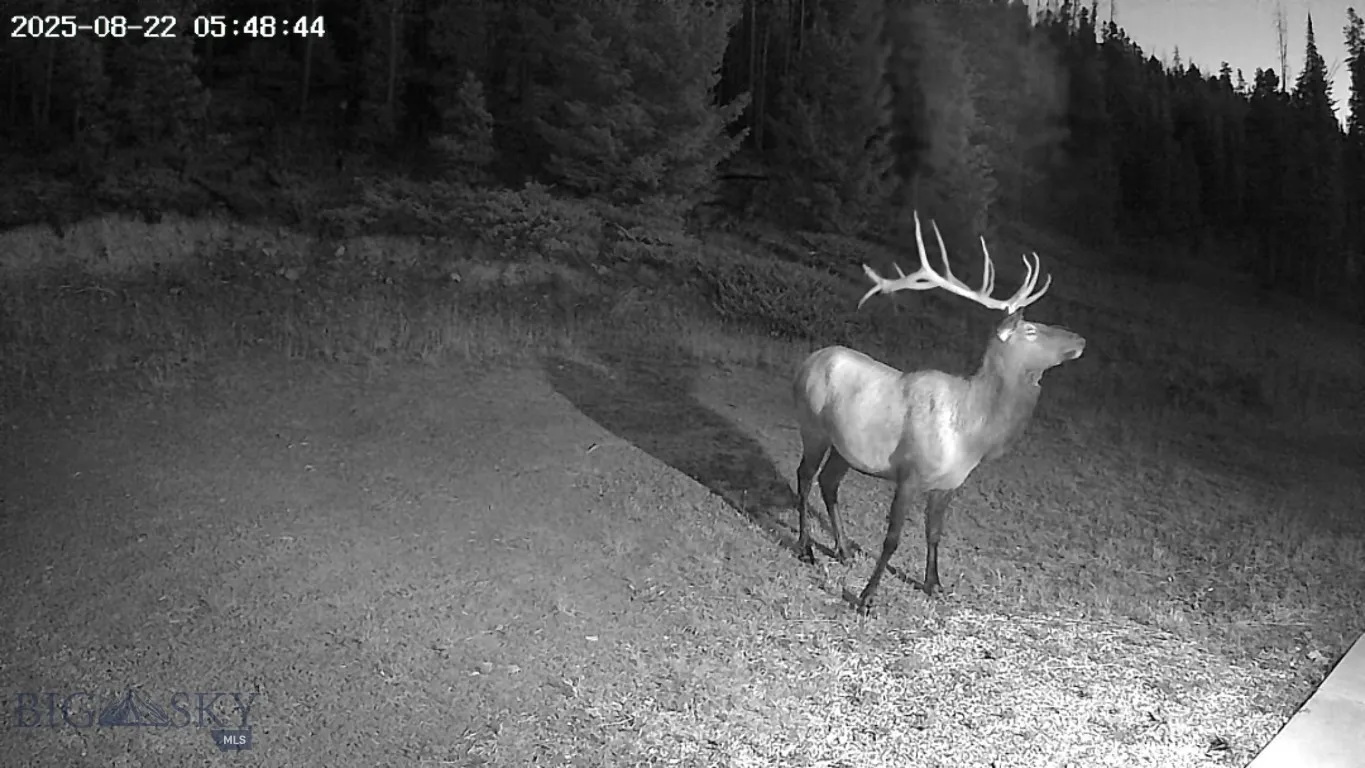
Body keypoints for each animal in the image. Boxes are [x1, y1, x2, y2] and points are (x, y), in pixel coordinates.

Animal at [792, 212, 1085, 613]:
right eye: (1031, 330)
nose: (1080, 339)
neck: (973, 435)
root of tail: (808, 360)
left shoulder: (950, 483)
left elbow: (934, 533)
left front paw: (934, 584)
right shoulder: (910, 472)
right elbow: (893, 538)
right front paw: (866, 598)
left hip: (845, 445)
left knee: (829, 482)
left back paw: (843, 548)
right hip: (813, 426)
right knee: (805, 476)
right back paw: (806, 548)